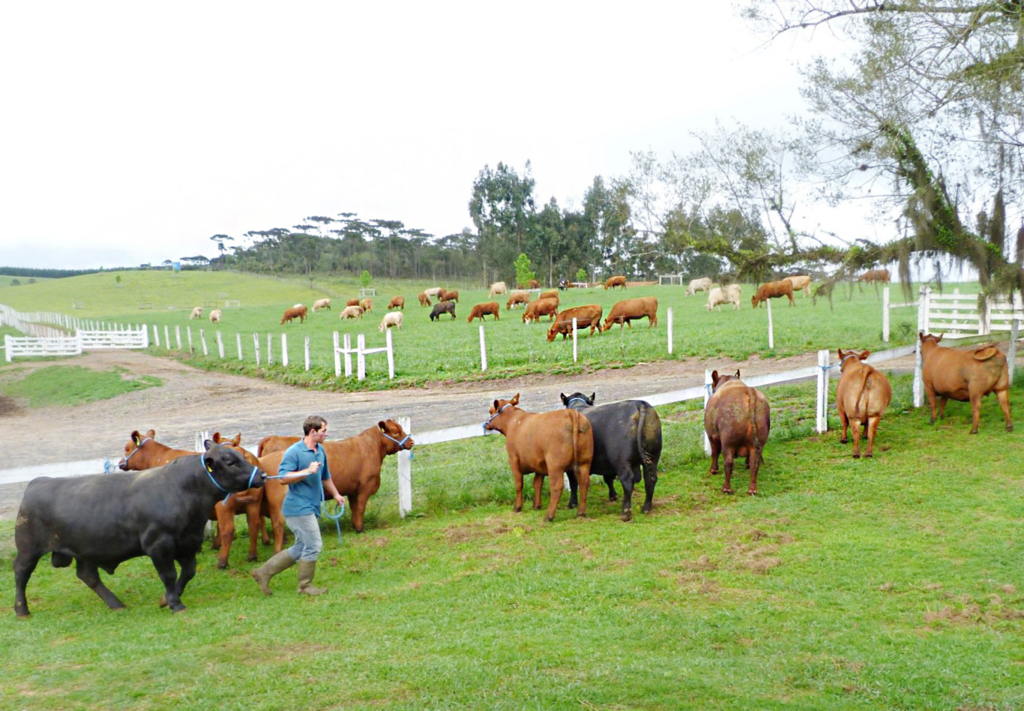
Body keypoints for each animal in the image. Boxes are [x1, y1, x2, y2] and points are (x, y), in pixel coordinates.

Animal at [14, 446, 266, 618]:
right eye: (230, 462)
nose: (262, 475)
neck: (181, 490)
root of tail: (38, 482)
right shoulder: (159, 546)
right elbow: (168, 575)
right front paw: (175, 603)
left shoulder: (188, 543)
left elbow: (188, 573)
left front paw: (167, 599)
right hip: (28, 549)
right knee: (21, 573)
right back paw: (21, 609)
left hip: (86, 550)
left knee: (88, 575)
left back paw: (116, 604)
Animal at [258, 420, 413, 545]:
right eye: (395, 432)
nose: (411, 442)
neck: (372, 446)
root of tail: (271, 438)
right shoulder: (365, 487)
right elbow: (360, 508)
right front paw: (360, 529)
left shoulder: (353, 490)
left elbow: (354, 508)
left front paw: (354, 525)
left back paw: (267, 540)